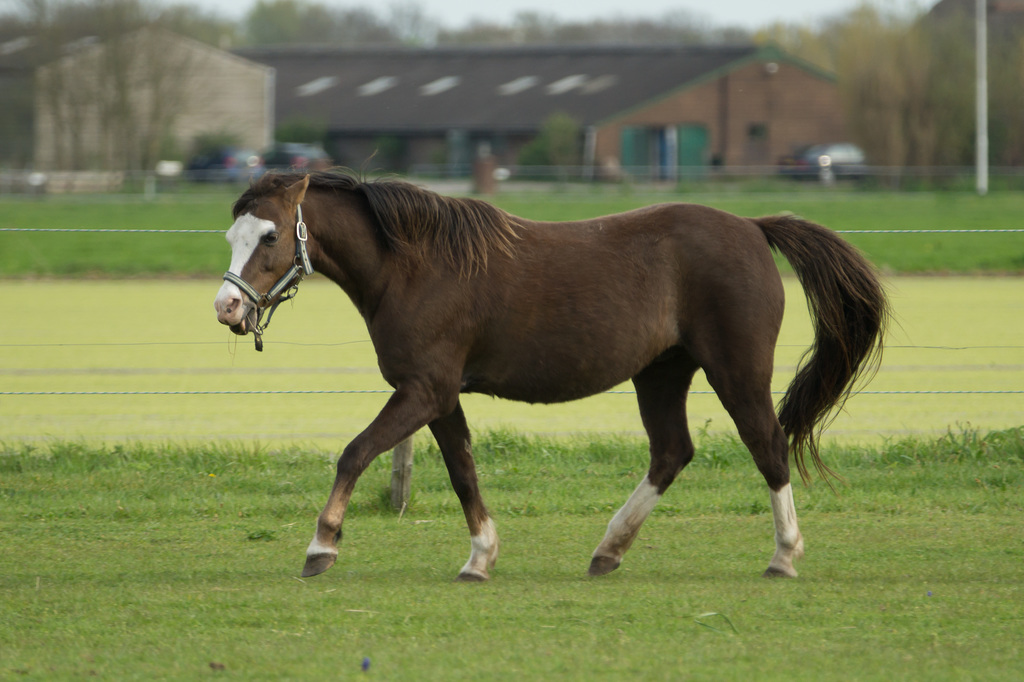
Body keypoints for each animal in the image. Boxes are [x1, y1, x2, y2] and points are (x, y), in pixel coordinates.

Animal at [214, 169, 888, 577]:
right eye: (232, 234)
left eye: (270, 235)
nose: (227, 308)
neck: (415, 265)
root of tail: (752, 227)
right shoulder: (439, 396)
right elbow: (463, 472)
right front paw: (480, 558)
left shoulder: (423, 391)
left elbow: (355, 452)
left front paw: (321, 545)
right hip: (661, 373)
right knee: (672, 452)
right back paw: (607, 551)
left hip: (736, 369)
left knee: (768, 447)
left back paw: (784, 556)